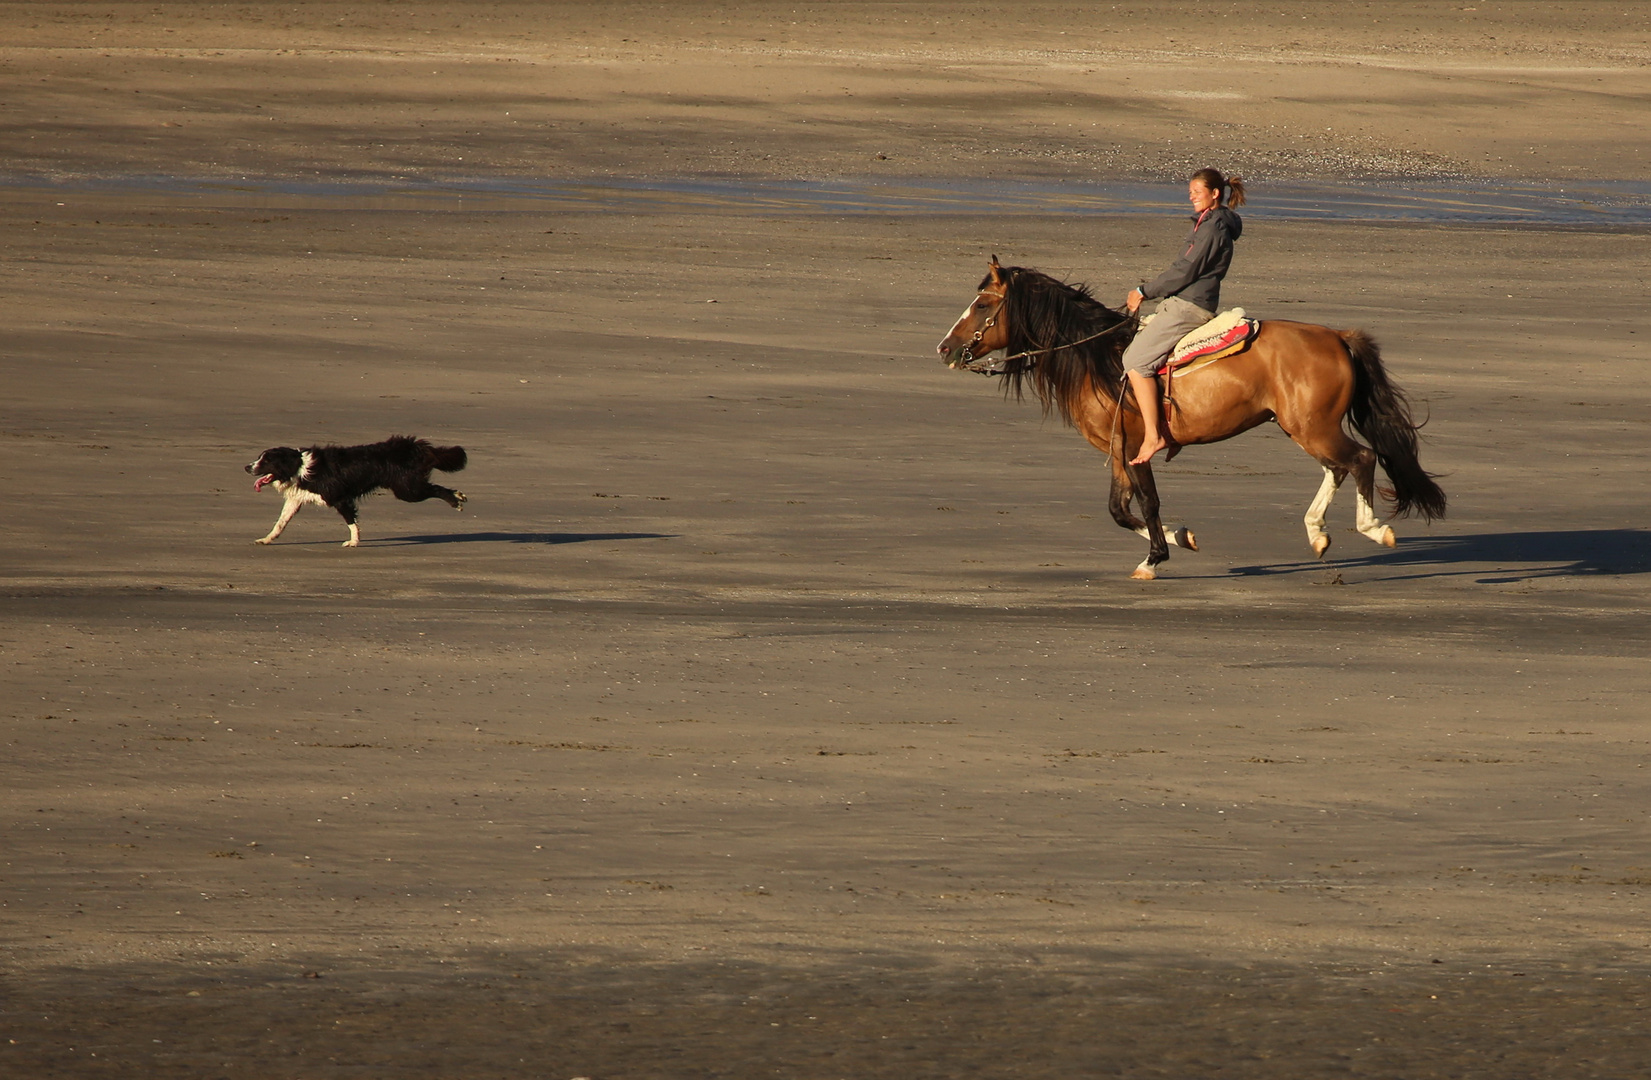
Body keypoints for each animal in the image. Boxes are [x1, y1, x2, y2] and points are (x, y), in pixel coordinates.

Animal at [244, 435, 468, 544]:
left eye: (265, 460)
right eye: (259, 457)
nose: (246, 467)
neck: (298, 466)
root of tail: (414, 447)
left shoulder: (339, 498)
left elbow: (351, 522)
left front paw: (353, 542)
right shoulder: (296, 499)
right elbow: (280, 522)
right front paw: (266, 539)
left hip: (407, 489)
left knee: (436, 489)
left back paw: (456, 500)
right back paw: (458, 496)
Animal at [937, 257, 1452, 584]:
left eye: (982, 305)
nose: (944, 348)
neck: (1098, 357)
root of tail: (1338, 337)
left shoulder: (1136, 448)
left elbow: (1146, 504)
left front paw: (1156, 557)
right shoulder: (1118, 452)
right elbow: (1119, 511)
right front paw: (1179, 538)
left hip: (1313, 428)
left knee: (1360, 459)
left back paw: (1372, 529)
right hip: (1304, 428)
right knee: (1340, 467)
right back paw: (1317, 534)